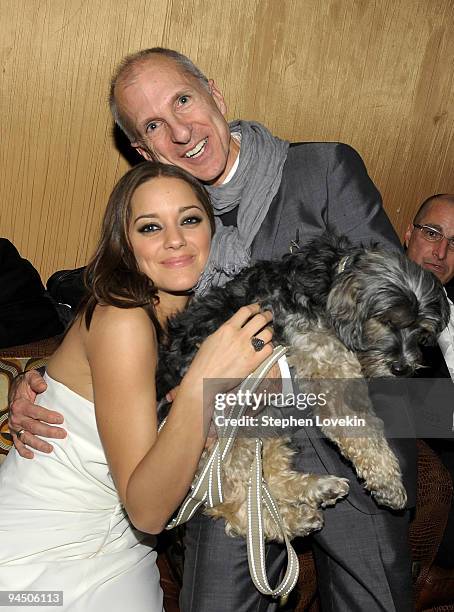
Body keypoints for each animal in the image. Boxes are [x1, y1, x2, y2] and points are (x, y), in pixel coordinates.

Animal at [158, 234, 448, 540]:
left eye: (422, 331)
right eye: (385, 320)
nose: (403, 368)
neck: (327, 286)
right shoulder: (334, 378)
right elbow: (364, 432)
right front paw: (388, 482)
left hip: (266, 420)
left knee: (269, 479)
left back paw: (316, 491)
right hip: (230, 435)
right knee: (235, 506)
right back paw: (292, 521)